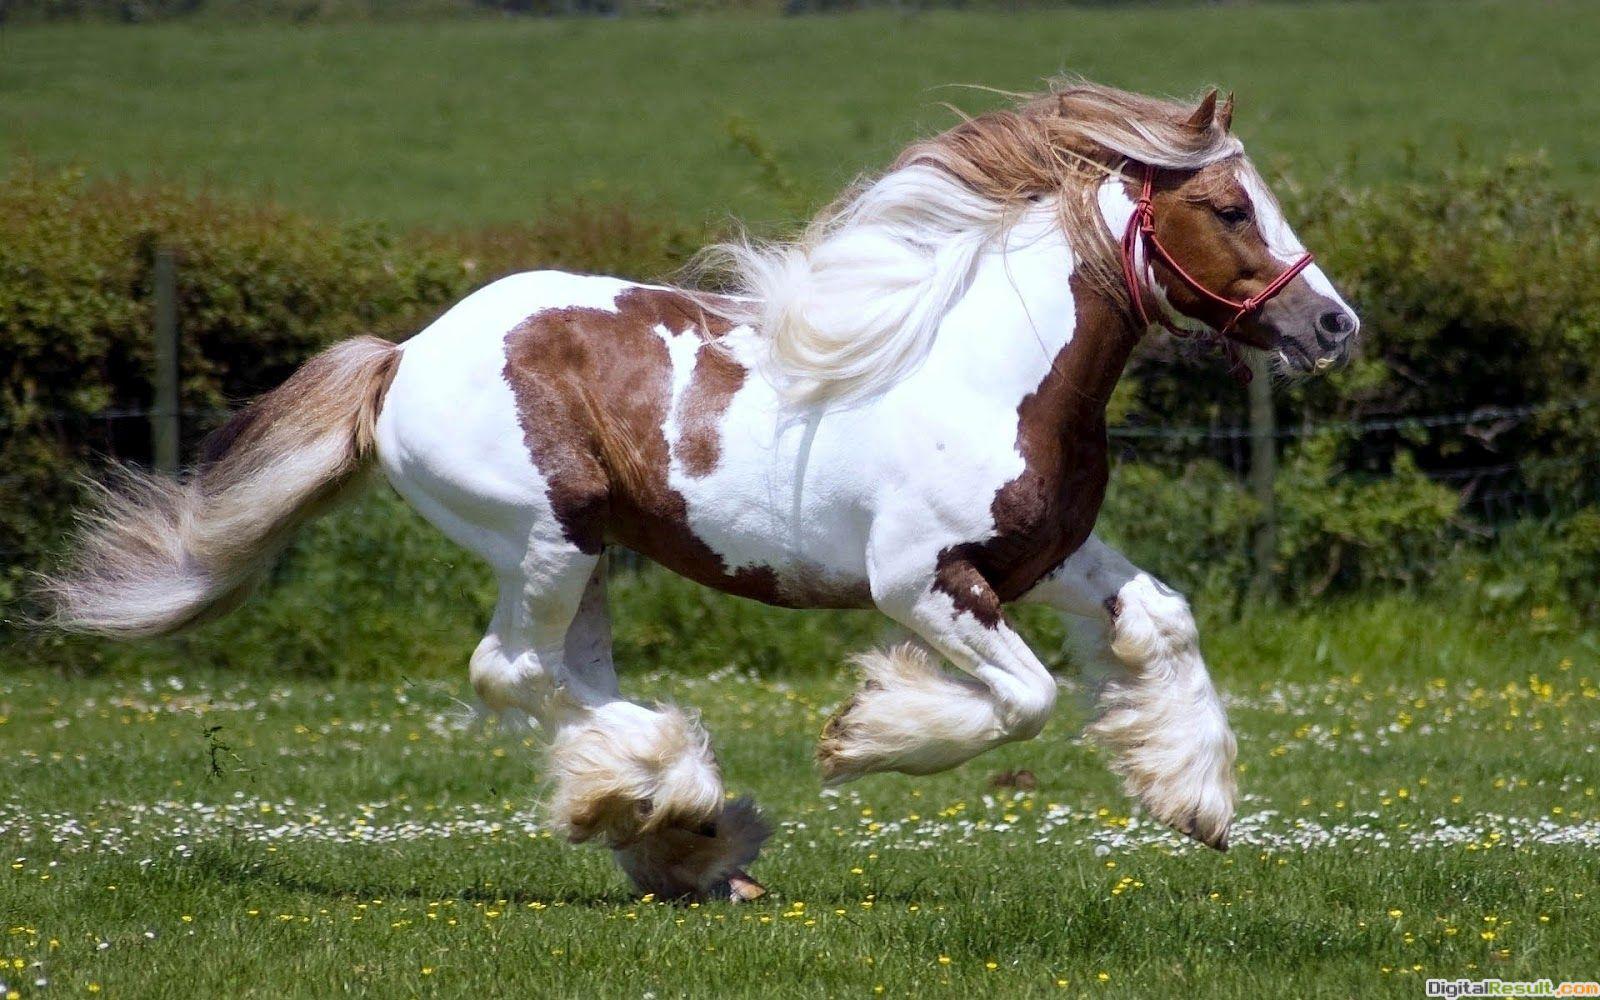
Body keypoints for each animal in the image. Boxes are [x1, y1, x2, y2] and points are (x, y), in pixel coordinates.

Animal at [45, 80, 1359, 902]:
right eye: (1228, 207)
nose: (1332, 325)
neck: (988, 367)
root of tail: (404, 357)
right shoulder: (921, 582)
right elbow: (1025, 700)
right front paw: (863, 735)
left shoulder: (1049, 557)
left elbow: (1164, 622)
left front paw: (1194, 800)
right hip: (546, 540)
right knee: (511, 671)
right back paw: (677, 805)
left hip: (585, 561)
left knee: (562, 677)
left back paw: (682, 836)